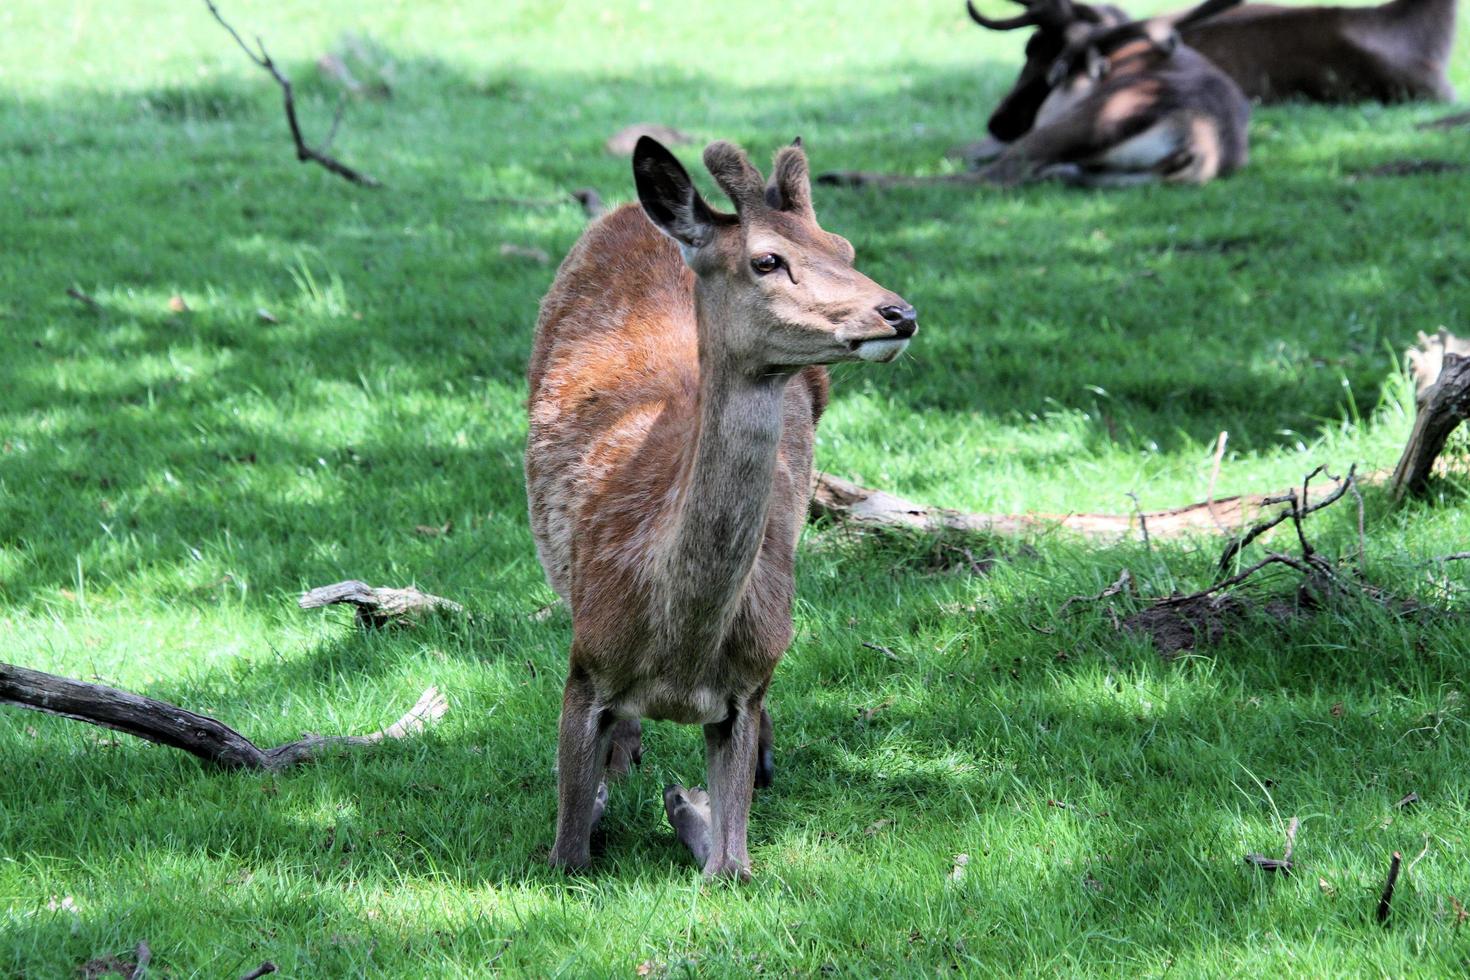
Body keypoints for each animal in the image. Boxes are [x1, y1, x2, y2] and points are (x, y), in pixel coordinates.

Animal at [526, 134, 917, 875]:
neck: (680, 649)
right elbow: (568, 853)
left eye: (844, 246)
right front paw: (615, 796)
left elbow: (732, 868)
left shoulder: (749, 681)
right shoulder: (585, 660)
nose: (900, 314)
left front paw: (692, 805)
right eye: (767, 259)